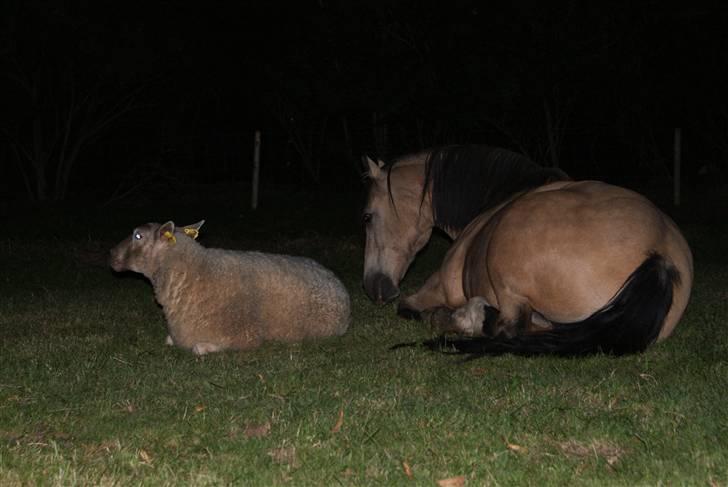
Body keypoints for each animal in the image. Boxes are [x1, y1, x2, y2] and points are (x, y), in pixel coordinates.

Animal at [362, 145, 693, 356]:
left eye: (366, 216)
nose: (373, 287)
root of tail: (661, 257)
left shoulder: (438, 288)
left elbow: (408, 306)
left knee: (509, 328)